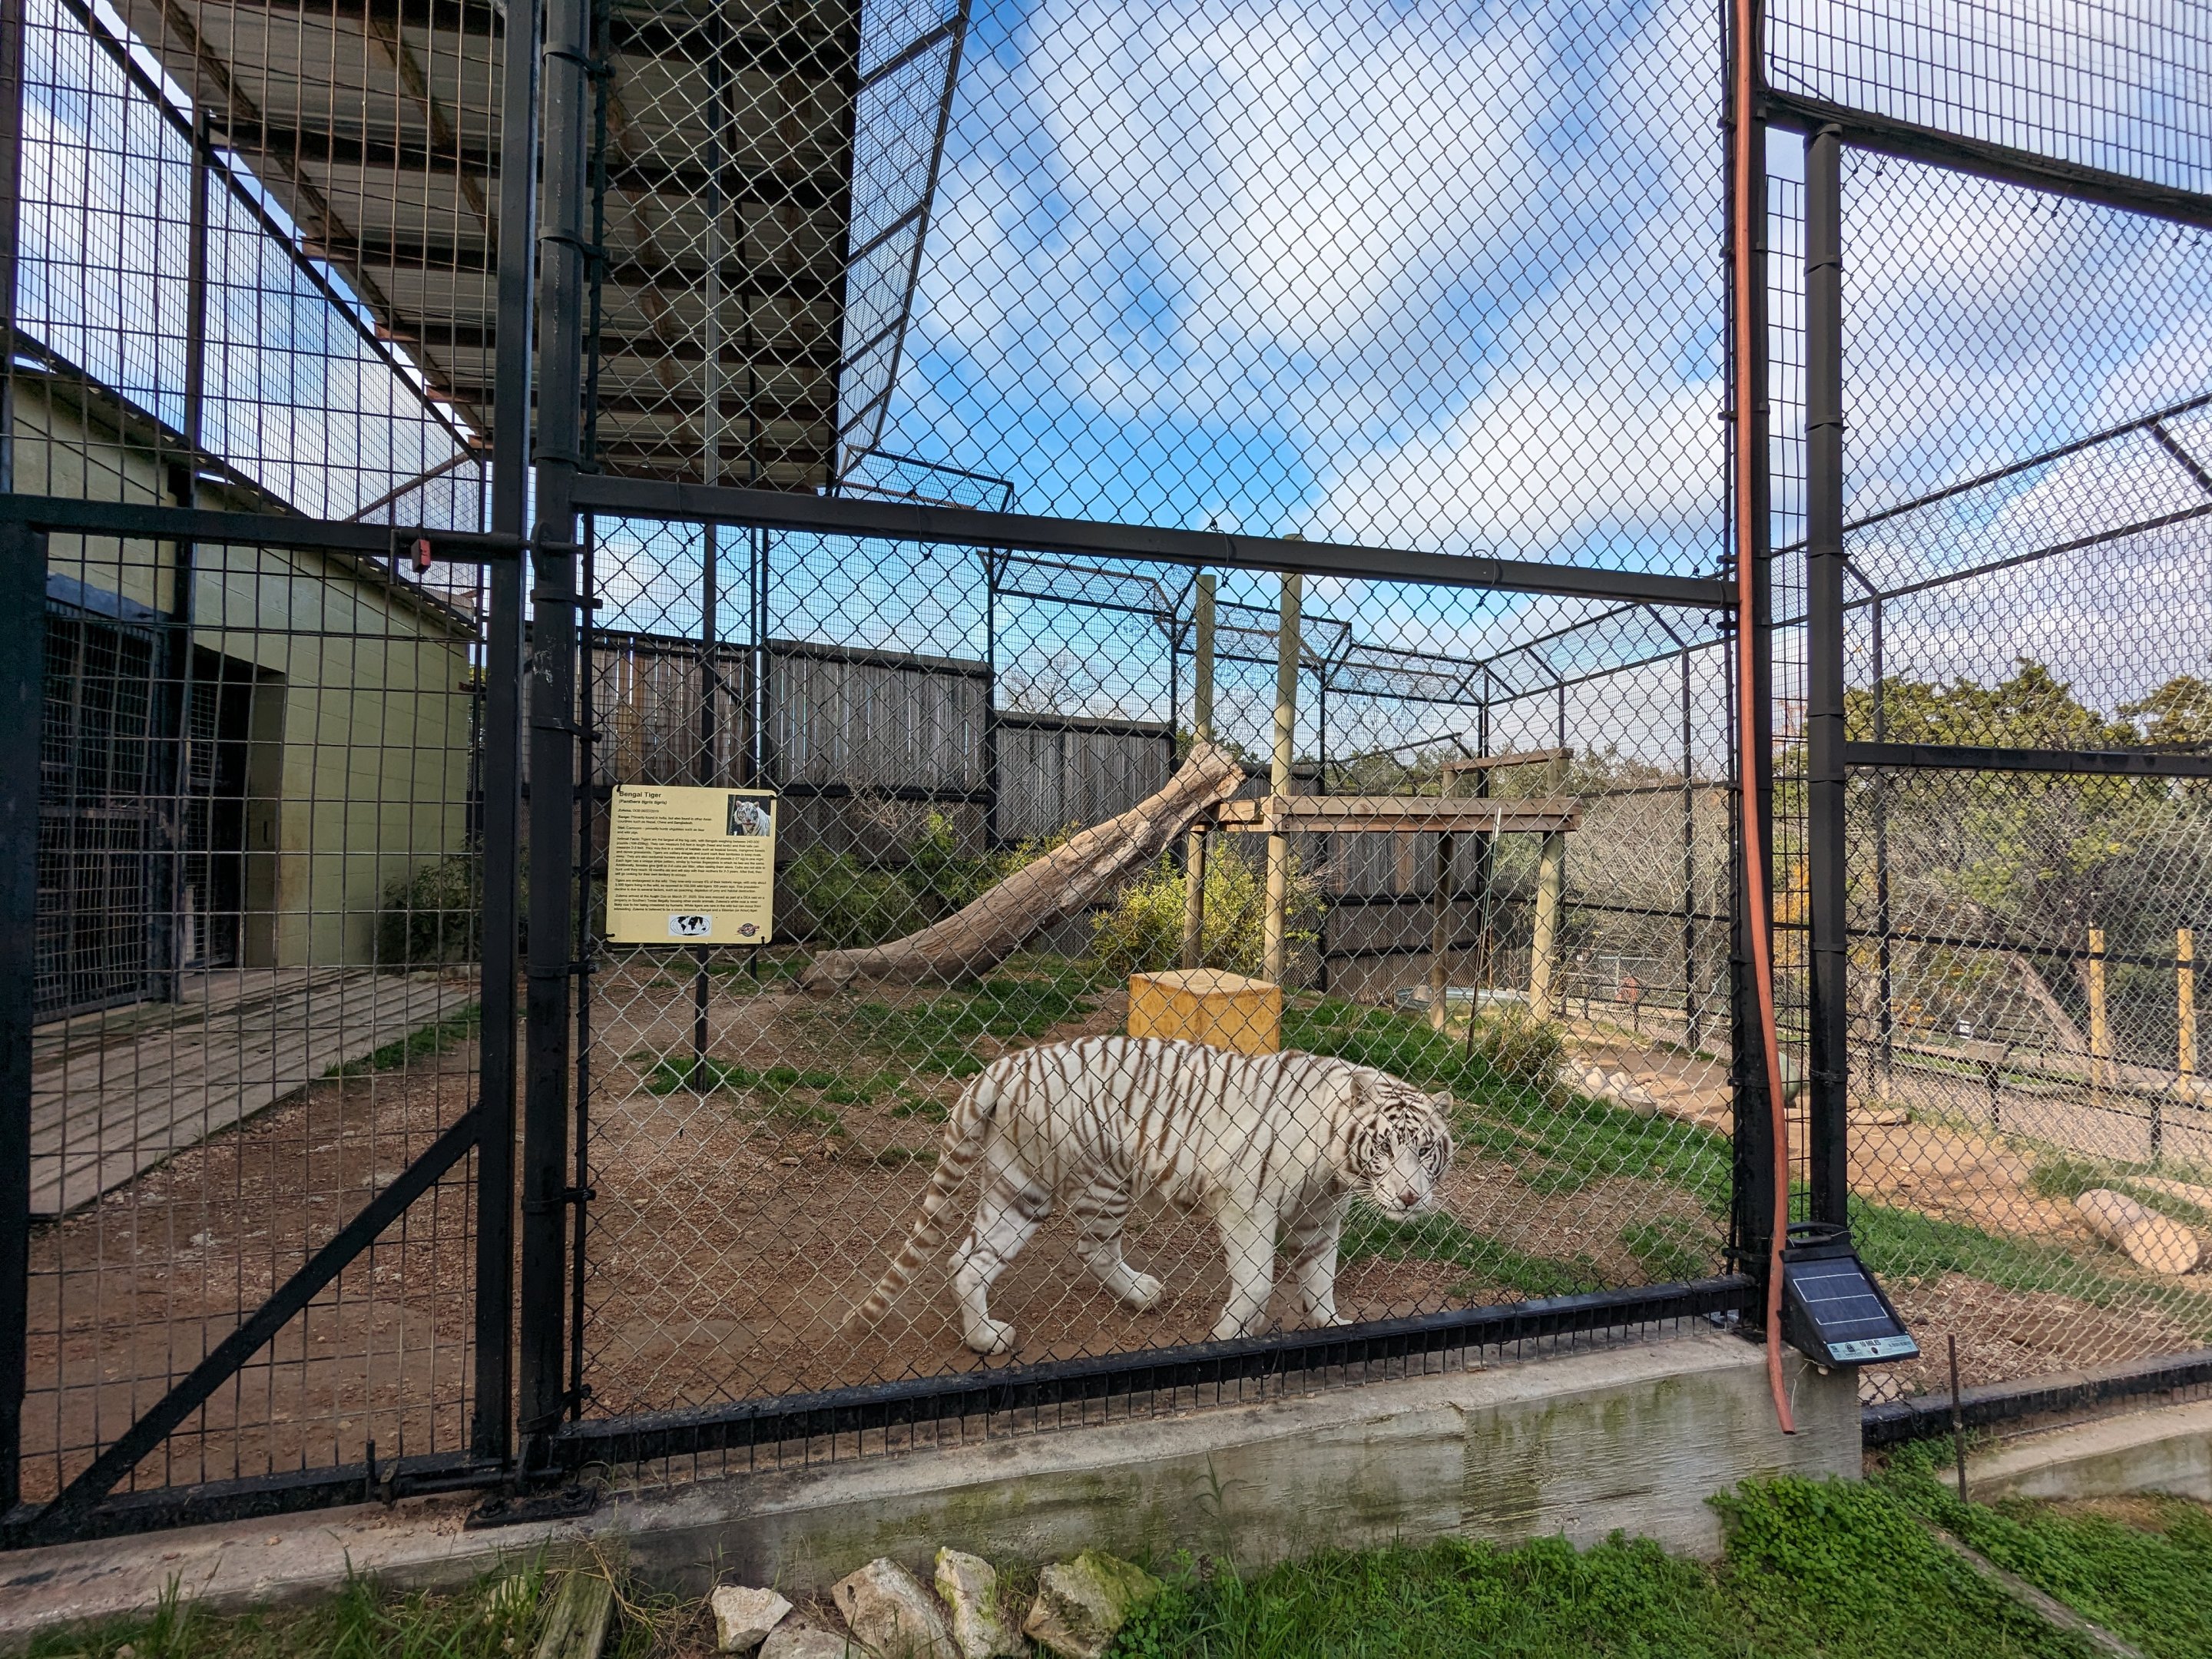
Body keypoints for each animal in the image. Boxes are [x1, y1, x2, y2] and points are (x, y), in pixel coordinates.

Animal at [847, 1035, 1456, 1355]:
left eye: (1425, 1151)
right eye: (1385, 1147)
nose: (1408, 1198)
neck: (1337, 1171)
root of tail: (1006, 1064)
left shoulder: (1319, 1217)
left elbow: (1320, 1277)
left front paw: (1332, 1328)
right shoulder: (1246, 1203)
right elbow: (1258, 1281)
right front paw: (1228, 1334)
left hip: (1019, 1187)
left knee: (966, 1260)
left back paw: (985, 1339)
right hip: (1102, 1179)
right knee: (1092, 1249)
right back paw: (1142, 1293)